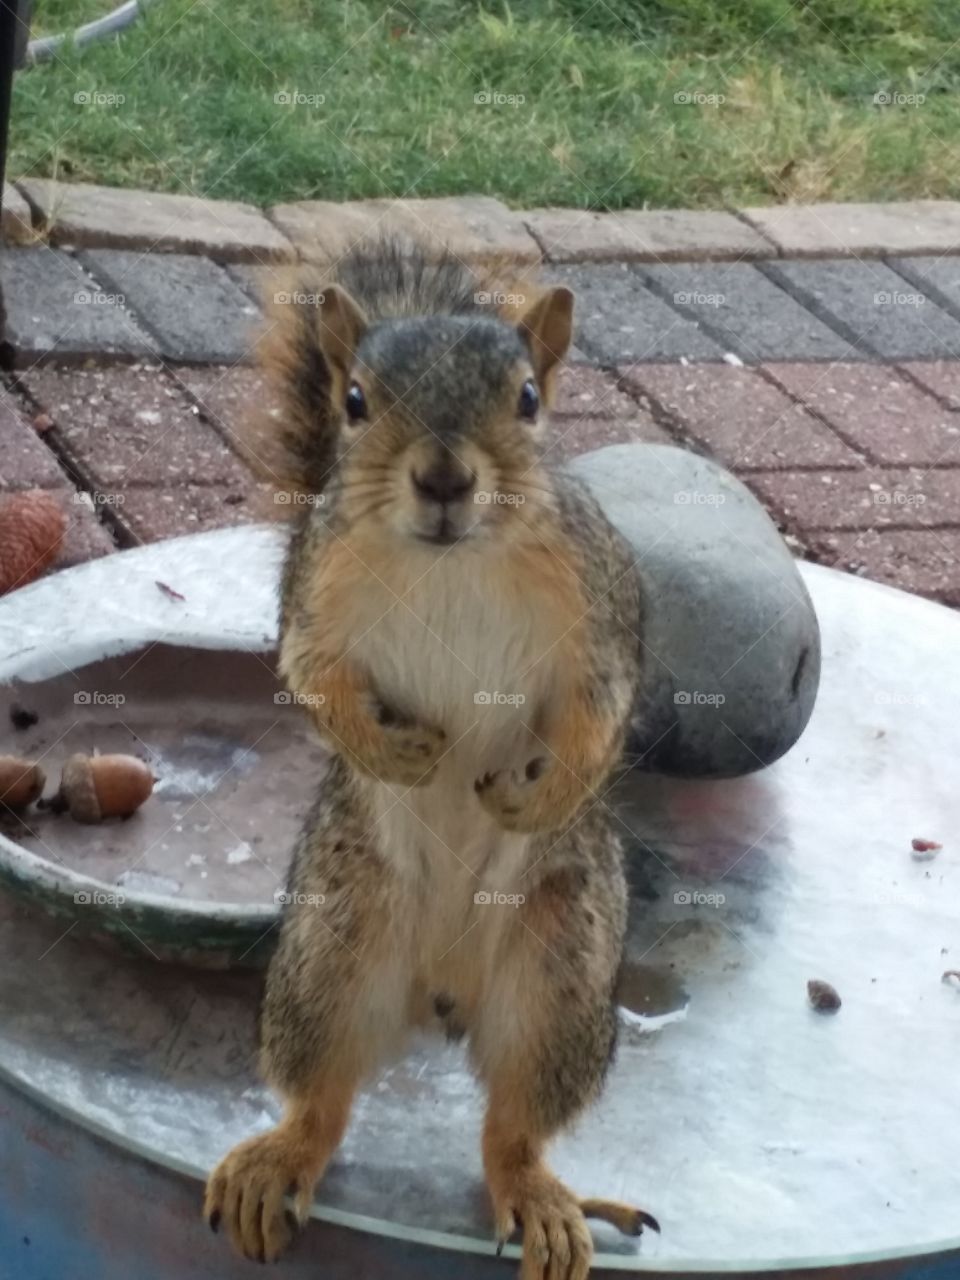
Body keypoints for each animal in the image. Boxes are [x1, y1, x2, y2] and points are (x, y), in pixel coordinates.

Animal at [204, 236, 658, 1279]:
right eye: (355, 400)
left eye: (528, 398)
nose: (447, 478)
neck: (453, 559)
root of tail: (442, 991)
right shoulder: (315, 595)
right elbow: (310, 679)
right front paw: (399, 752)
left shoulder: (601, 606)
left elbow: (601, 710)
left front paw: (539, 796)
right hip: (331, 949)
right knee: (323, 1098)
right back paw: (279, 1157)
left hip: (562, 969)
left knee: (514, 1128)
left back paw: (540, 1200)